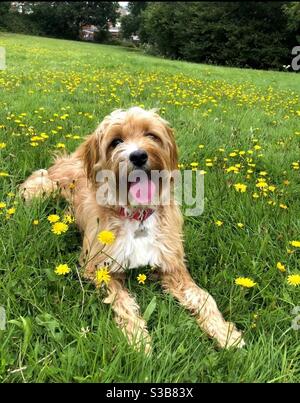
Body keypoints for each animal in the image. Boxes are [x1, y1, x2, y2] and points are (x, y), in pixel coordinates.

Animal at [20, 107, 246, 354]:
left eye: (151, 135)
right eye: (116, 141)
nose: (138, 156)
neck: (137, 215)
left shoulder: (173, 267)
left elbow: (204, 298)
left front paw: (224, 333)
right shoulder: (99, 269)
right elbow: (123, 302)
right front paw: (138, 339)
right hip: (43, 188)